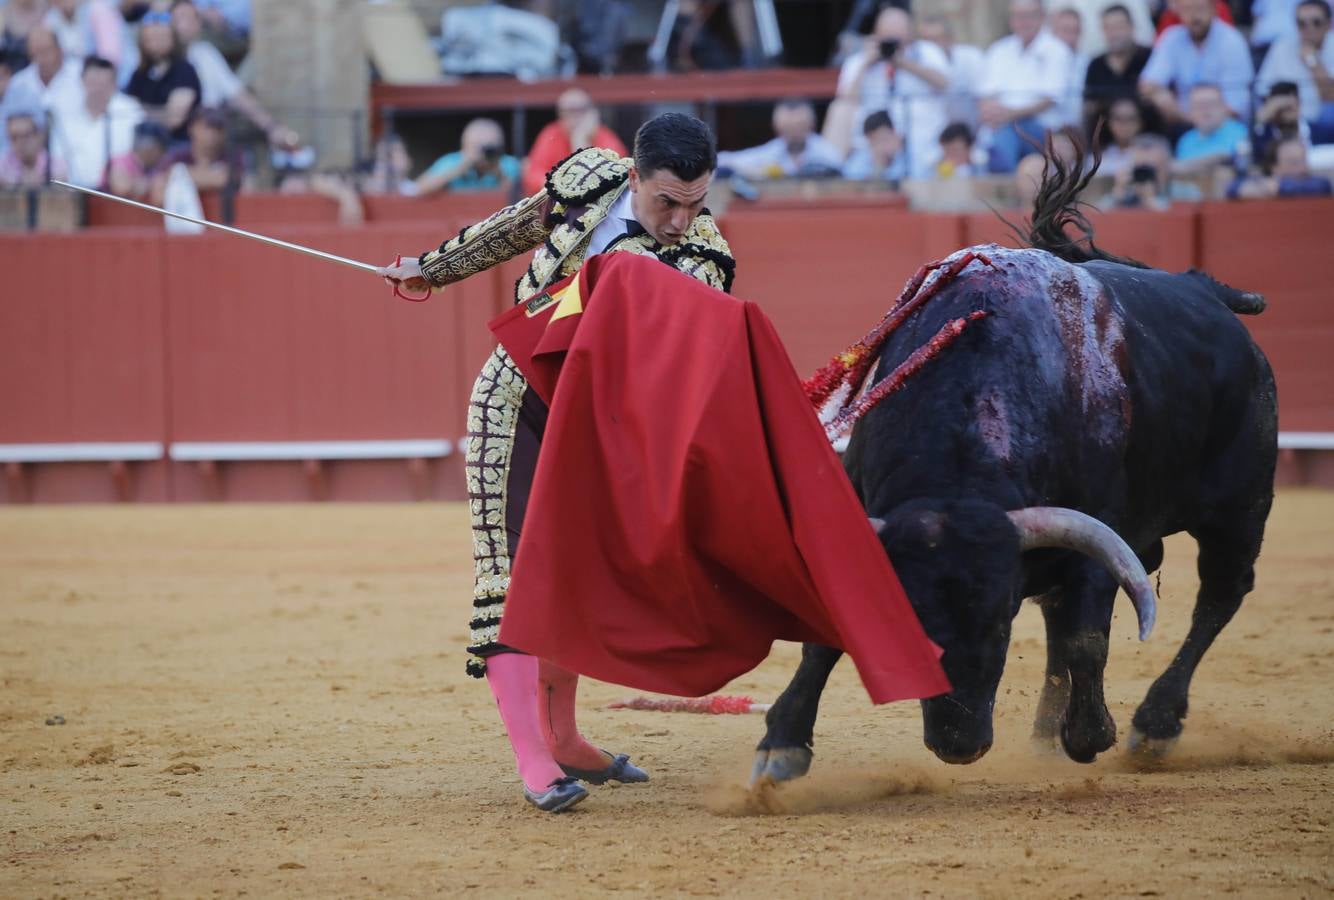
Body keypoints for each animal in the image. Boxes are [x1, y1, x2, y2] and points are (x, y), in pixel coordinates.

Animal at [757, 154, 1275, 784]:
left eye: (1002, 622)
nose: (959, 744)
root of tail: (1205, 290)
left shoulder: (1102, 530)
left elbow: (1085, 638)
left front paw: (1091, 733)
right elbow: (826, 640)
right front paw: (783, 744)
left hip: (1240, 505)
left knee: (1221, 594)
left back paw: (1153, 725)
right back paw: (1049, 735)